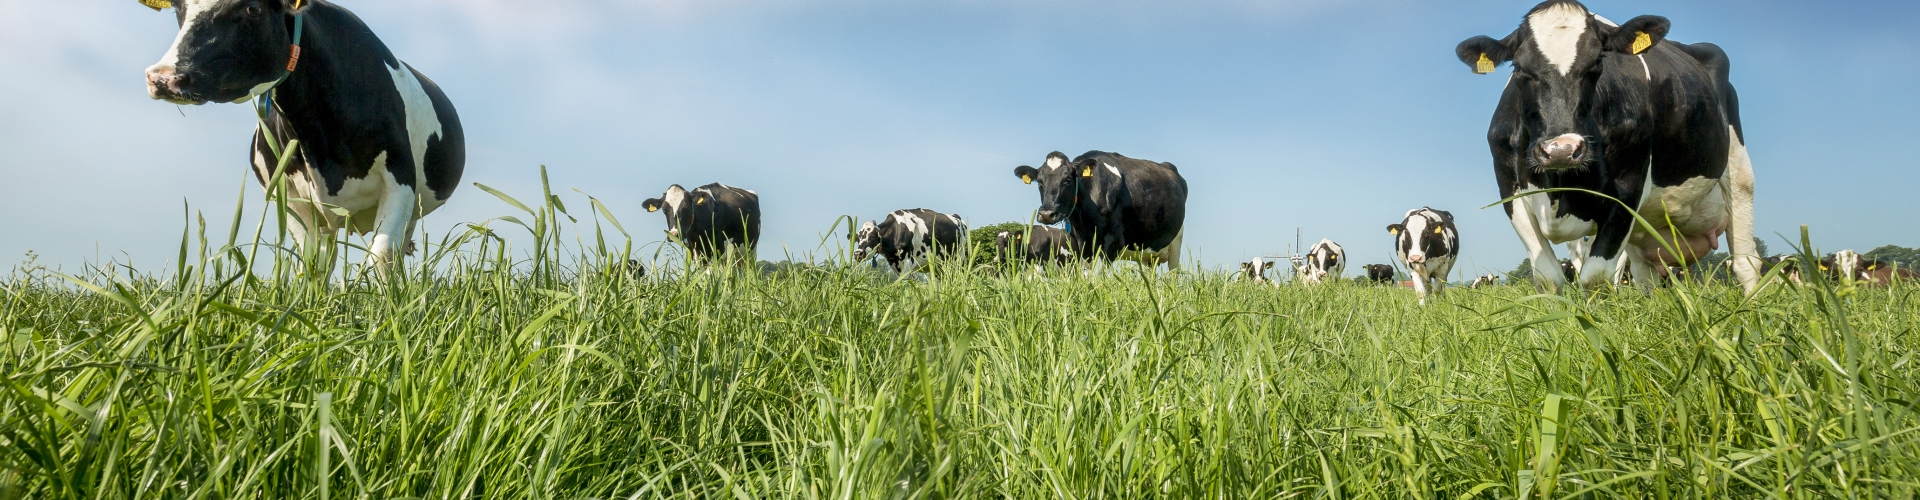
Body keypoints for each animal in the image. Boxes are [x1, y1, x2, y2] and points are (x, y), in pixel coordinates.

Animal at [138, 0, 465, 267]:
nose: (163, 77)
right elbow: (315, 260)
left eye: (253, 8)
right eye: (177, 7)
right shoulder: (287, 194)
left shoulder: (400, 178)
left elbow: (382, 254)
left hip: (414, 208)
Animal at [1013, 151, 1188, 270]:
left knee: (1173, 272)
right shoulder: (1080, 244)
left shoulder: (1112, 242)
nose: (1046, 214)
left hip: (1176, 243)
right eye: (1040, 182)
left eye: (1067, 180)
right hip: (1149, 254)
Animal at [1455, 0, 1760, 294]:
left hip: (1738, 171)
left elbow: (1596, 278)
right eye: (1518, 68)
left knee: (1746, 260)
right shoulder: (1510, 191)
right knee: (1646, 277)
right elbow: (1548, 278)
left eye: (1597, 63)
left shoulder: (1628, 186)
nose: (1561, 150)